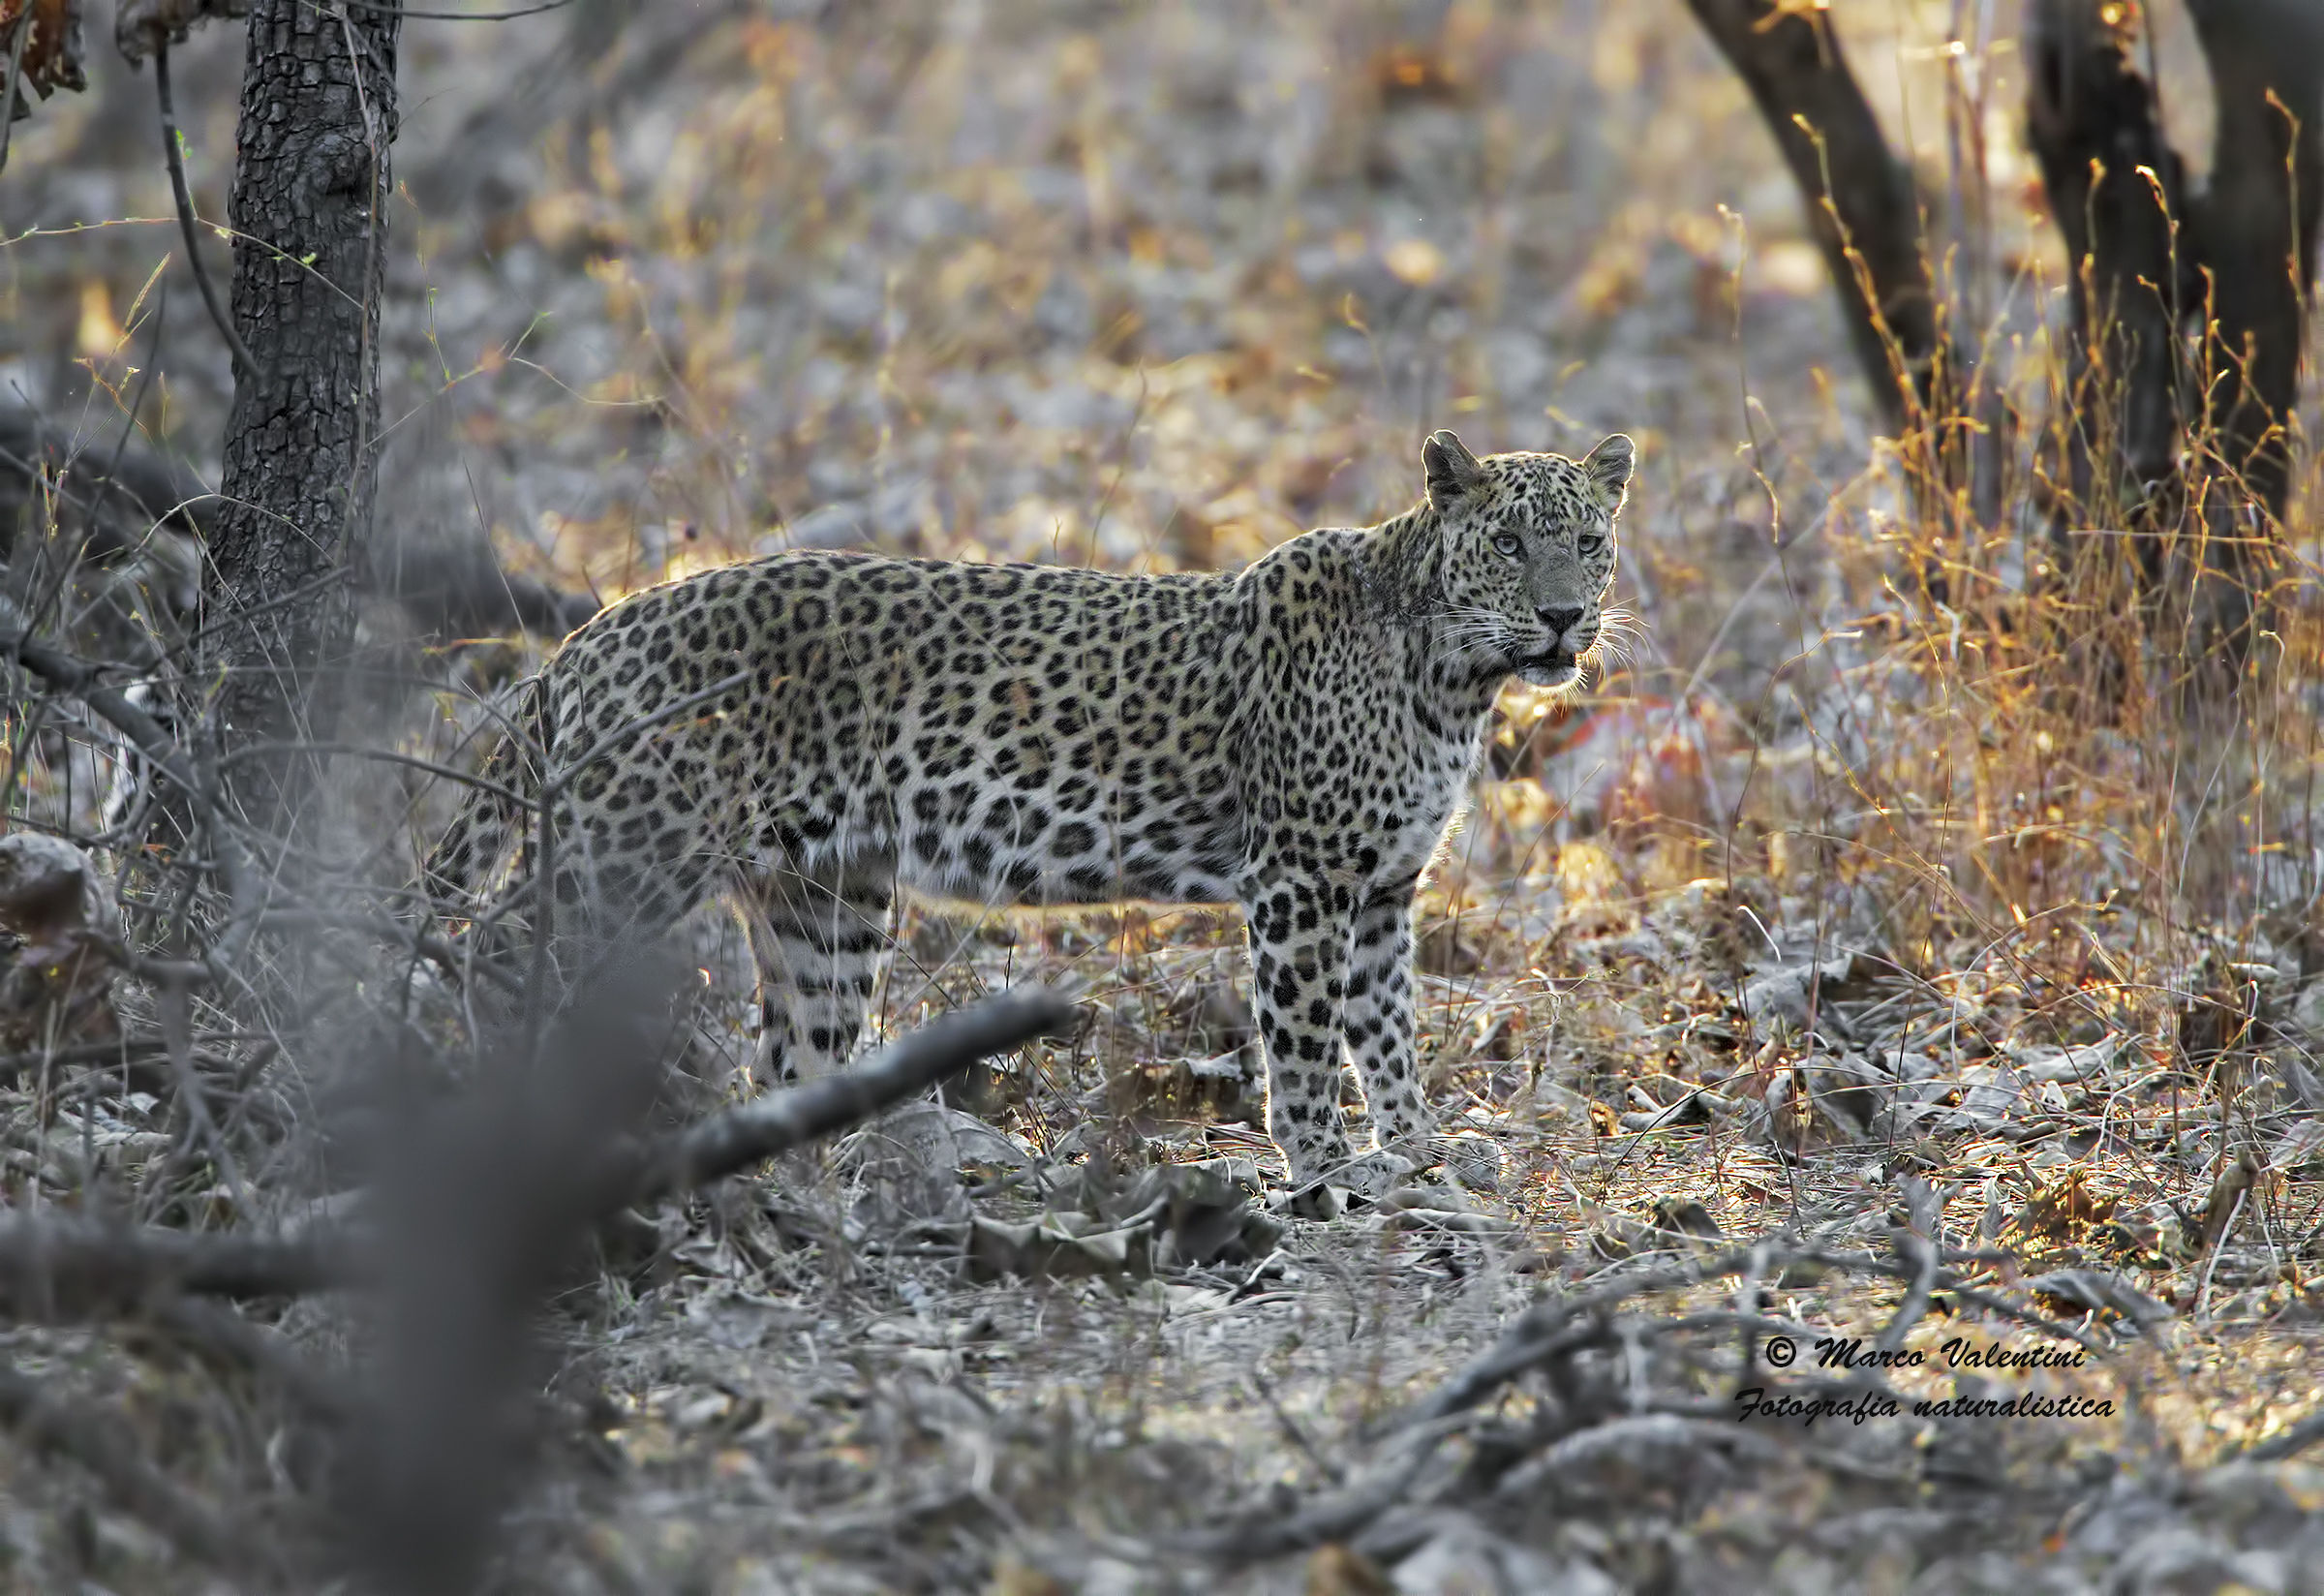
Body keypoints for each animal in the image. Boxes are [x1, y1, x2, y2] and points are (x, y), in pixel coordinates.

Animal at [421, 428, 1634, 1195]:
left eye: (1589, 541)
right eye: (1510, 542)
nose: (1563, 618)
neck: (1452, 681)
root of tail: (593, 633)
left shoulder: (1381, 887)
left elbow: (1387, 1027)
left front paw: (1421, 1145)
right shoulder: (1302, 882)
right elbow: (1304, 1039)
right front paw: (1328, 1170)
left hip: (824, 901)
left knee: (795, 1048)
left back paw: (805, 1183)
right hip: (628, 851)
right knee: (497, 942)